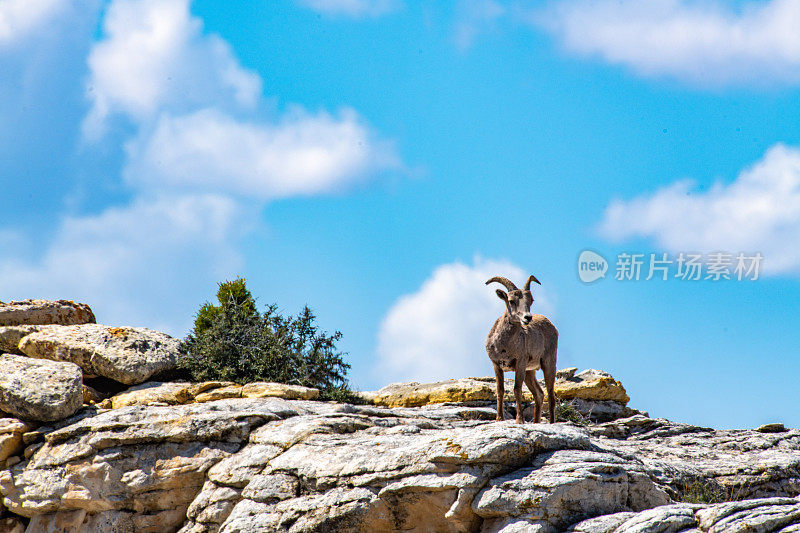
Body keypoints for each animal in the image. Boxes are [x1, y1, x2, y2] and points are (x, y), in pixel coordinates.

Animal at [484, 276, 560, 422]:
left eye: (531, 300)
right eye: (511, 301)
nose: (527, 317)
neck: (504, 346)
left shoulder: (520, 364)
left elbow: (517, 389)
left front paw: (519, 420)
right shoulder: (496, 365)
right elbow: (500, 390)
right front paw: (499, 418)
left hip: (548, 364)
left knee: (551, 396)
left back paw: (551, 423)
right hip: (530, 372)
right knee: (539, 394)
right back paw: (536, 422)